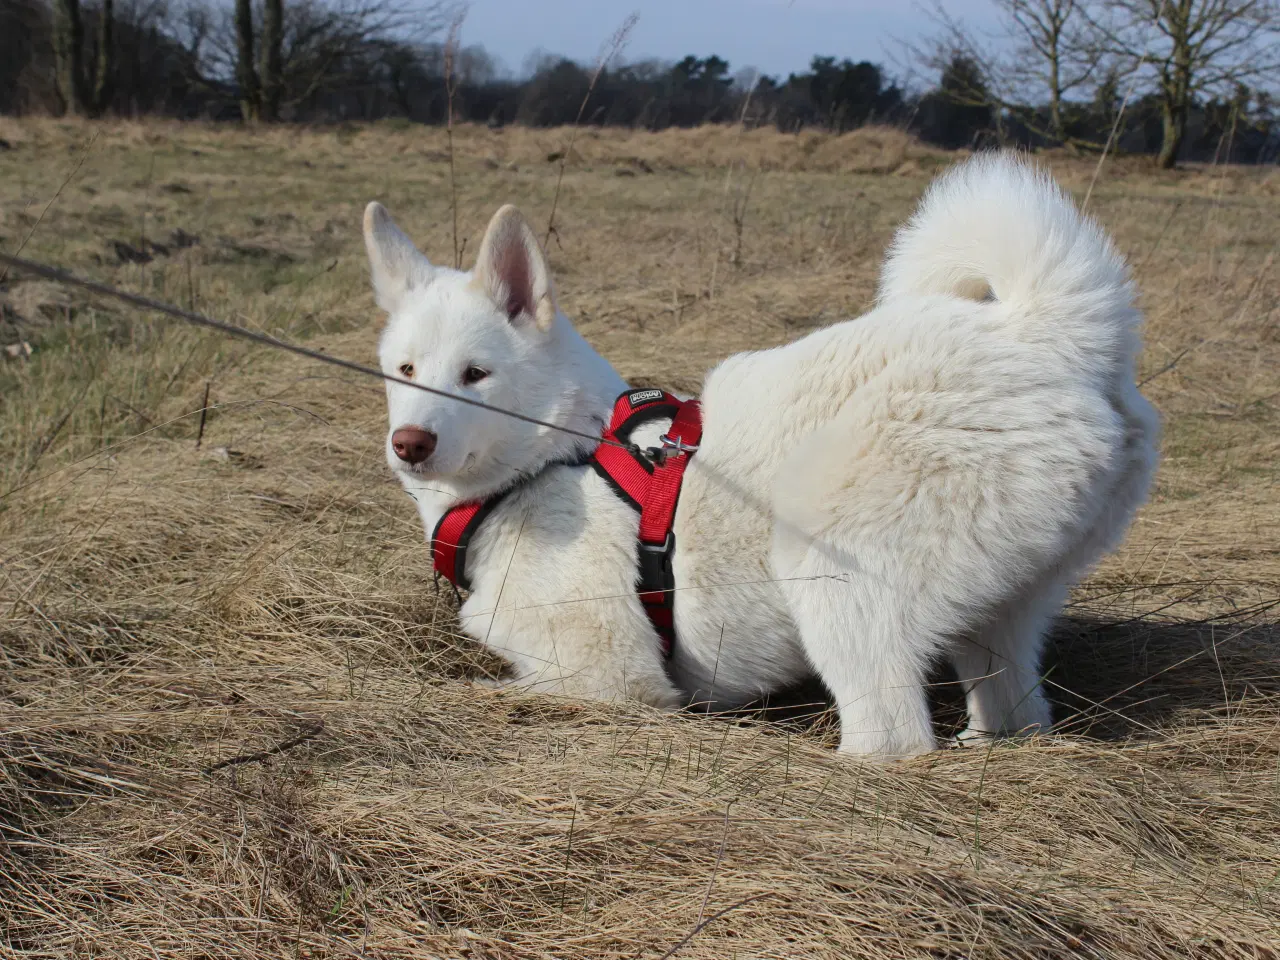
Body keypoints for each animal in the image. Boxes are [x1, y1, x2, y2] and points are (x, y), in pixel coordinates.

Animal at [363, 152, 1162, 757]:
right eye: (405, 370)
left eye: (476, 374)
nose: (411, 444)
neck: (558, 453)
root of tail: (1044, 335)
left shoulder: (614, 680)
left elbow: (514, 687)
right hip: (1000, 620)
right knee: (1017, 712)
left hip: (830, 570)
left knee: (893, 739)